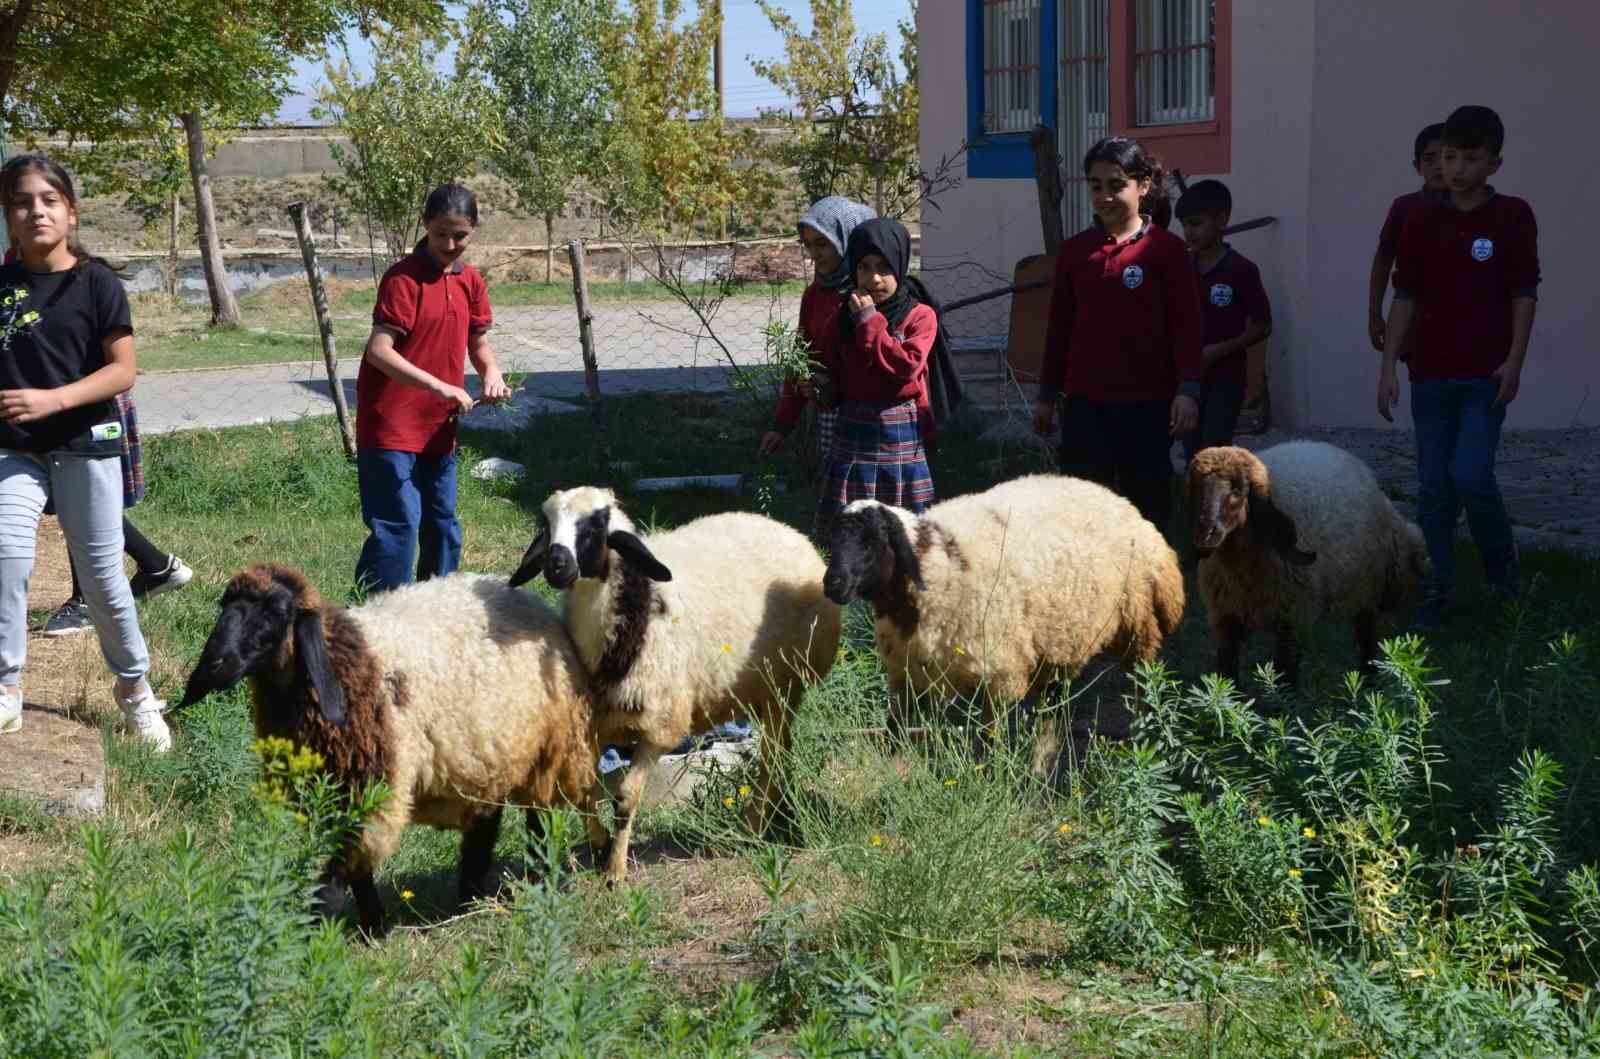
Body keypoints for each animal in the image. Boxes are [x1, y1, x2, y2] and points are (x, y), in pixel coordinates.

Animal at [172, 563, 601, 940]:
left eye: (277, 611)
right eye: (224, 606)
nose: (215, 663)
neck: (345, 666)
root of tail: (521, 593)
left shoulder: (370, 789)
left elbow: (336, 878)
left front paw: (313, 940)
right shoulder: (335, 794)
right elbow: (357, 871)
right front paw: (373, 926)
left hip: (551, 749)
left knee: (539, 821)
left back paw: (534, 881)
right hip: (486, 754)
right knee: (485, 823)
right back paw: (469, 897)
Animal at [512, 489, 844, 889]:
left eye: (594, 526)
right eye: (546, 527)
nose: (556, 566)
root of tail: (786, 530)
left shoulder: (659, 728)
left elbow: (624, 798)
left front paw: (615, 871)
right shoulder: (596, 727)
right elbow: (582, 790)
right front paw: (600, 844)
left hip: (786, 683)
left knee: (773, 757)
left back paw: (753, 826)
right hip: (765, 692)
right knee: (782, 751)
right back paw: (779, 809)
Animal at [825, 476, 1190, 726]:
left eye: (871, 541)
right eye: (833, 539)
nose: (831, 584)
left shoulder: (1000, 670)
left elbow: (990, 739)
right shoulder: (908, 674)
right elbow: (896, 734)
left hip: (1139, 627)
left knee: (1144, 682)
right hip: (1058, 643)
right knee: (1052, 704)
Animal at [1184, 438, 1433, 687]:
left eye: (1238, 490)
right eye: (1196, 489)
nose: (1205, 534)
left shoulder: (1293, 617)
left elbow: (1285, 675)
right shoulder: (1225, 617)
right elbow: (1226, 675)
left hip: (1366, 590)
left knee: (1367, 636)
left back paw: (1369, 681)